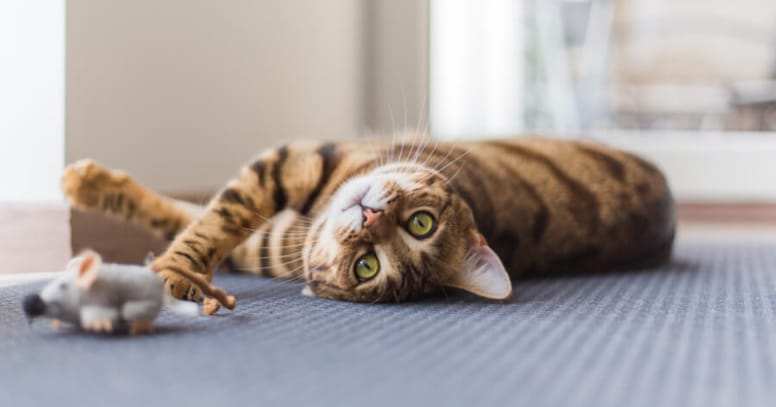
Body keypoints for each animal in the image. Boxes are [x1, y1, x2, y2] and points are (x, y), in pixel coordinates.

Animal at [60, 136, 672, 302]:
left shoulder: (268, 222)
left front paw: (171, 272)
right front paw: (87, 183)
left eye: (367, 267)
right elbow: (200, 214)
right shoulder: (290, 165)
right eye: (422, 223)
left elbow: (200, 221)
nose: (369, 216)